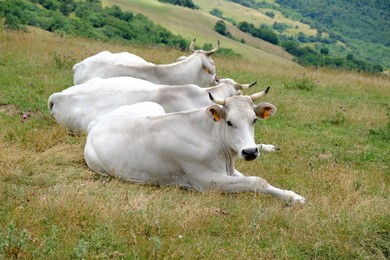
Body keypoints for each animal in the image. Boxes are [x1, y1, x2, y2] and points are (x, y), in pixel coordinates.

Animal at [84, 92, 304, 204]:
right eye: (229, 122)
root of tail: (96, 121)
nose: (249, 152)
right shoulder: (208, 181)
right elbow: (256, 181)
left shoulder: (228, 171)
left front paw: (293, 196)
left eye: (254, 120)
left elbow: (259, 180)